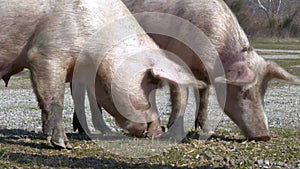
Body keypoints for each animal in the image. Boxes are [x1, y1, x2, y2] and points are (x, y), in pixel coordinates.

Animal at [118, 0, 298, 140]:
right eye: (243, 92)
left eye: (263, 92)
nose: (264, 136)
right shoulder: (177, 60)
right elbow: (180, 98)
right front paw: (177, 134)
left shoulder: (203, 75)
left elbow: (204, 99)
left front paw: (207, 131)